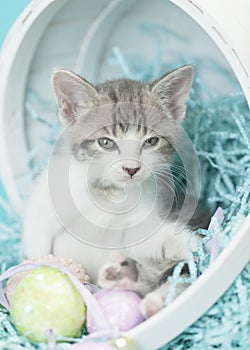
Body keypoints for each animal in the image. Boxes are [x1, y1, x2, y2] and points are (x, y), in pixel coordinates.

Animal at [22, 65, 205, 318]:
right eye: (106, 142)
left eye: (151, 141)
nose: (131, 168)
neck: (110, 193)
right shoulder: (44, 202)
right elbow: (37, 235)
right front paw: (36, 268)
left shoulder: (138, 228)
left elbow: (160, 238)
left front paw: (196, 241)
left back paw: (143, 293)